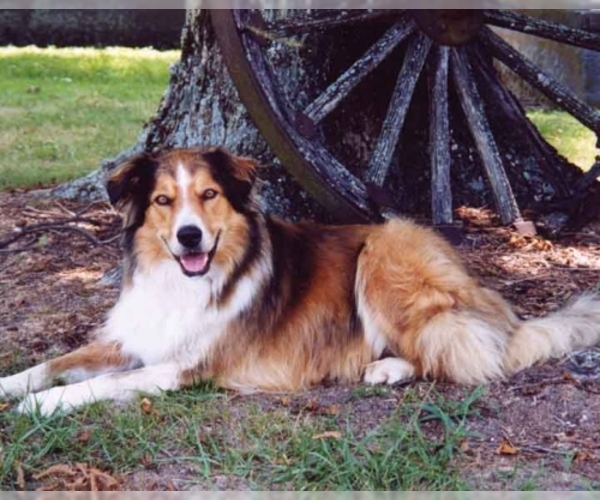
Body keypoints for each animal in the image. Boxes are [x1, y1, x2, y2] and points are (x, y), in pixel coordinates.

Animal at [1, 147, 600, 414]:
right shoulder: (133, 340)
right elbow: (53, 363)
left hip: (384, 254)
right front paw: (13, 387)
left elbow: (101, 383)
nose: (190, 238)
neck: (186, 282)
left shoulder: (190, 367)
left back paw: (388, 368)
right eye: (163, 201)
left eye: (210, 194)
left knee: (458, 350)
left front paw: (43, 406)